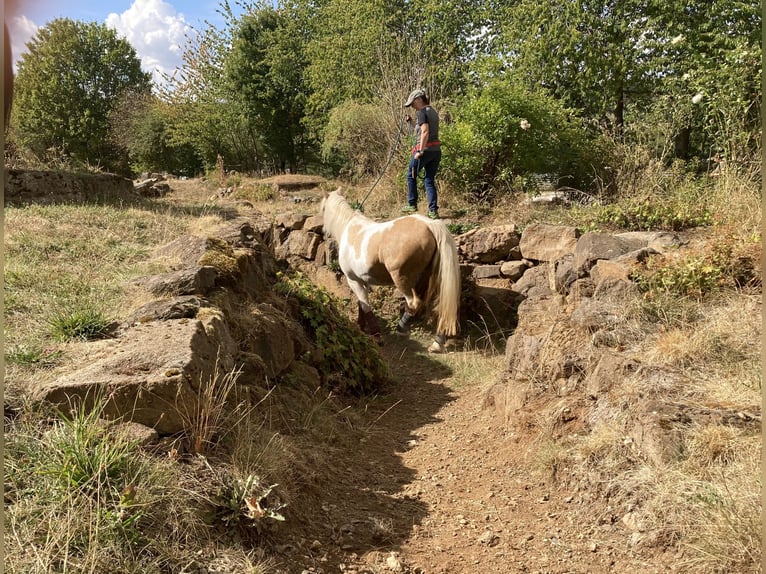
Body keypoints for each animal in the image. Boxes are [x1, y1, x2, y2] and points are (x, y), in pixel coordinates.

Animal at [319, 188, 461, 353]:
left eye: (323, 208)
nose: (323, 231)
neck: (349, 228)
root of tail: (430, 224)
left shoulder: (353, 280)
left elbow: (365, 305)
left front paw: (376, 334)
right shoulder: (362, 281)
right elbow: (361, 303)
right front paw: (361, 326)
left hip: (401, 279)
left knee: (414, 303)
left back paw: (401, 329)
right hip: (434, 279)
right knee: (440, 306)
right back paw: (437, 342)